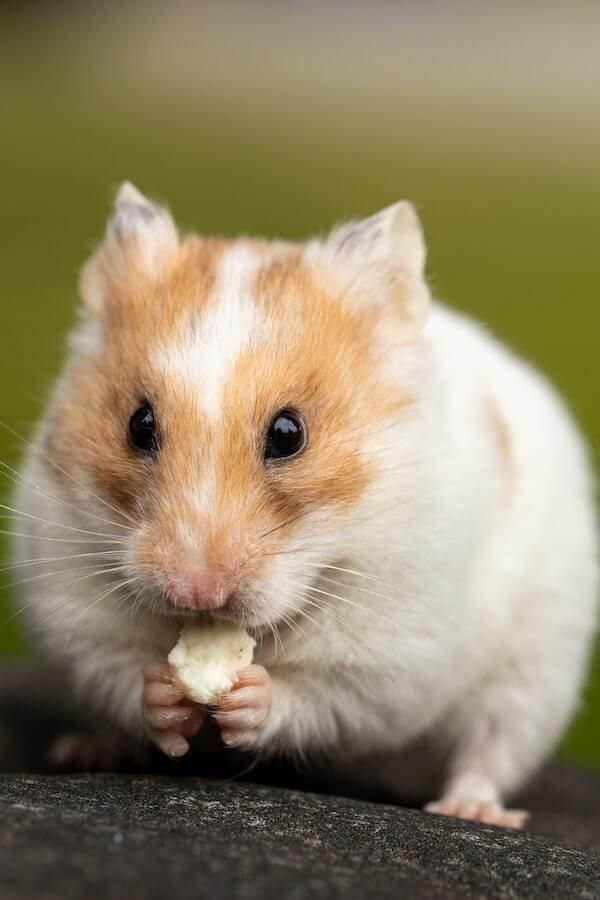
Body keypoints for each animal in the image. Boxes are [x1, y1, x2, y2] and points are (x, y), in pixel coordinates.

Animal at [10, 182, 598, 829]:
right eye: (139, 425)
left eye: (289, 434)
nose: (196, 593)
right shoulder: (76, 608)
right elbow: (120, 672)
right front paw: (165, 695)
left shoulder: (390, 655)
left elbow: (319, 698)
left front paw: (248, 697)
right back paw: (88, 750)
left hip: (533, 674)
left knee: (489, 748)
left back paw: (472, 810)